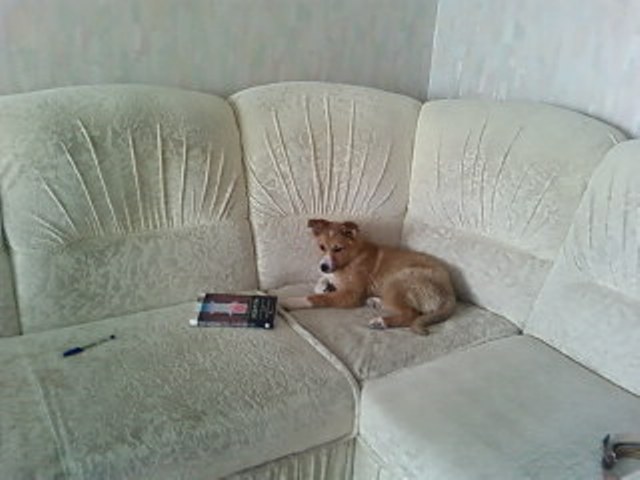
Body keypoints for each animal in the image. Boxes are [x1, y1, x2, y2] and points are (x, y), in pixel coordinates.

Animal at [279, 219, 456, 334]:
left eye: (338, 249)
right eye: (321, 247)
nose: (323, 266)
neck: (352, 257)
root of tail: (450, 293)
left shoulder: (351, 295)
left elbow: (316, 299)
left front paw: (288, 301)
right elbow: (320, 283)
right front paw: (325, 286)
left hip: (398, 279)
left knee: (411, 314)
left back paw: (381, 322)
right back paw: (376, 302)